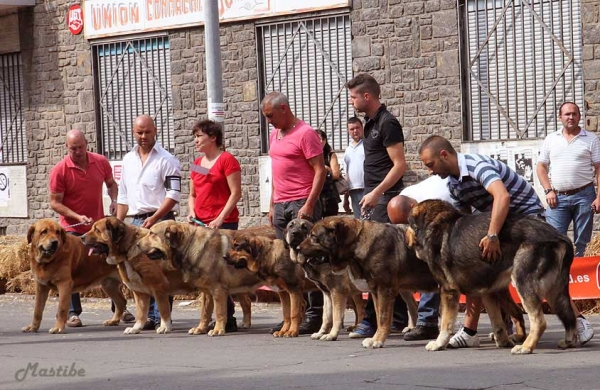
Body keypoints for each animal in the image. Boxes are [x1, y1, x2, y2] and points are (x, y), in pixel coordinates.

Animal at [298, 218, 438, 348]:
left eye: (313, 236)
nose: (298, 248)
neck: (358, 243)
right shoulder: (374, 291)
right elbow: (328, 316)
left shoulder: (381, 290)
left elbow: (381, 318)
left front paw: (377, 340)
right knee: (412, 304)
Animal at [406, 200, 580, 354]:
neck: (435, 223)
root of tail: (560, 237)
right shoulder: (488, 292)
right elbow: (497, 322)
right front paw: (503, 341)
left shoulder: (448, 291)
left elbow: (445, 324)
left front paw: (439, 343)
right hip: (554, 291)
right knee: (569, 315)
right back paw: (568, 341)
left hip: (524, 284)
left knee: (539, 321)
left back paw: (526, 347)